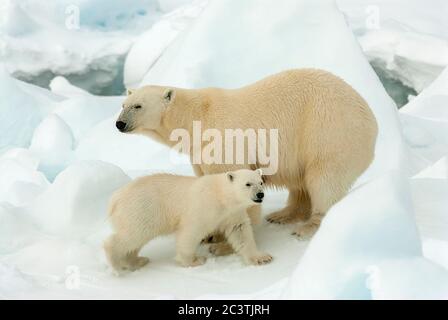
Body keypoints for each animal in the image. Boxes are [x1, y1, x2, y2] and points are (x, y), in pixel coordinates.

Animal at [103, 169, 272, 272]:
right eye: (248, 184)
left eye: (261, 182)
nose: (260, 194)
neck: (221, 195)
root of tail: (114, 199)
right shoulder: (204, 207)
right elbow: (191, 232)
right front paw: (194, 260)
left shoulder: (232, 213)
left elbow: (241, 232)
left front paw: (262, 258)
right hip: (142, 210)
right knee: (131, 236)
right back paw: (116, 264)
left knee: (135, 241)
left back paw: (137, 261)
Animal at [116, 69, 378, 240]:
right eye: (123, 104)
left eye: (138, 106)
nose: (119, 124)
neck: (196, 118)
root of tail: (371, 118)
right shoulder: (199, 151)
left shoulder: (223, 142)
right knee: (301, 182)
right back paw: (282, 215)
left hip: (328, 131)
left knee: (324, 179)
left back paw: (309, 226)